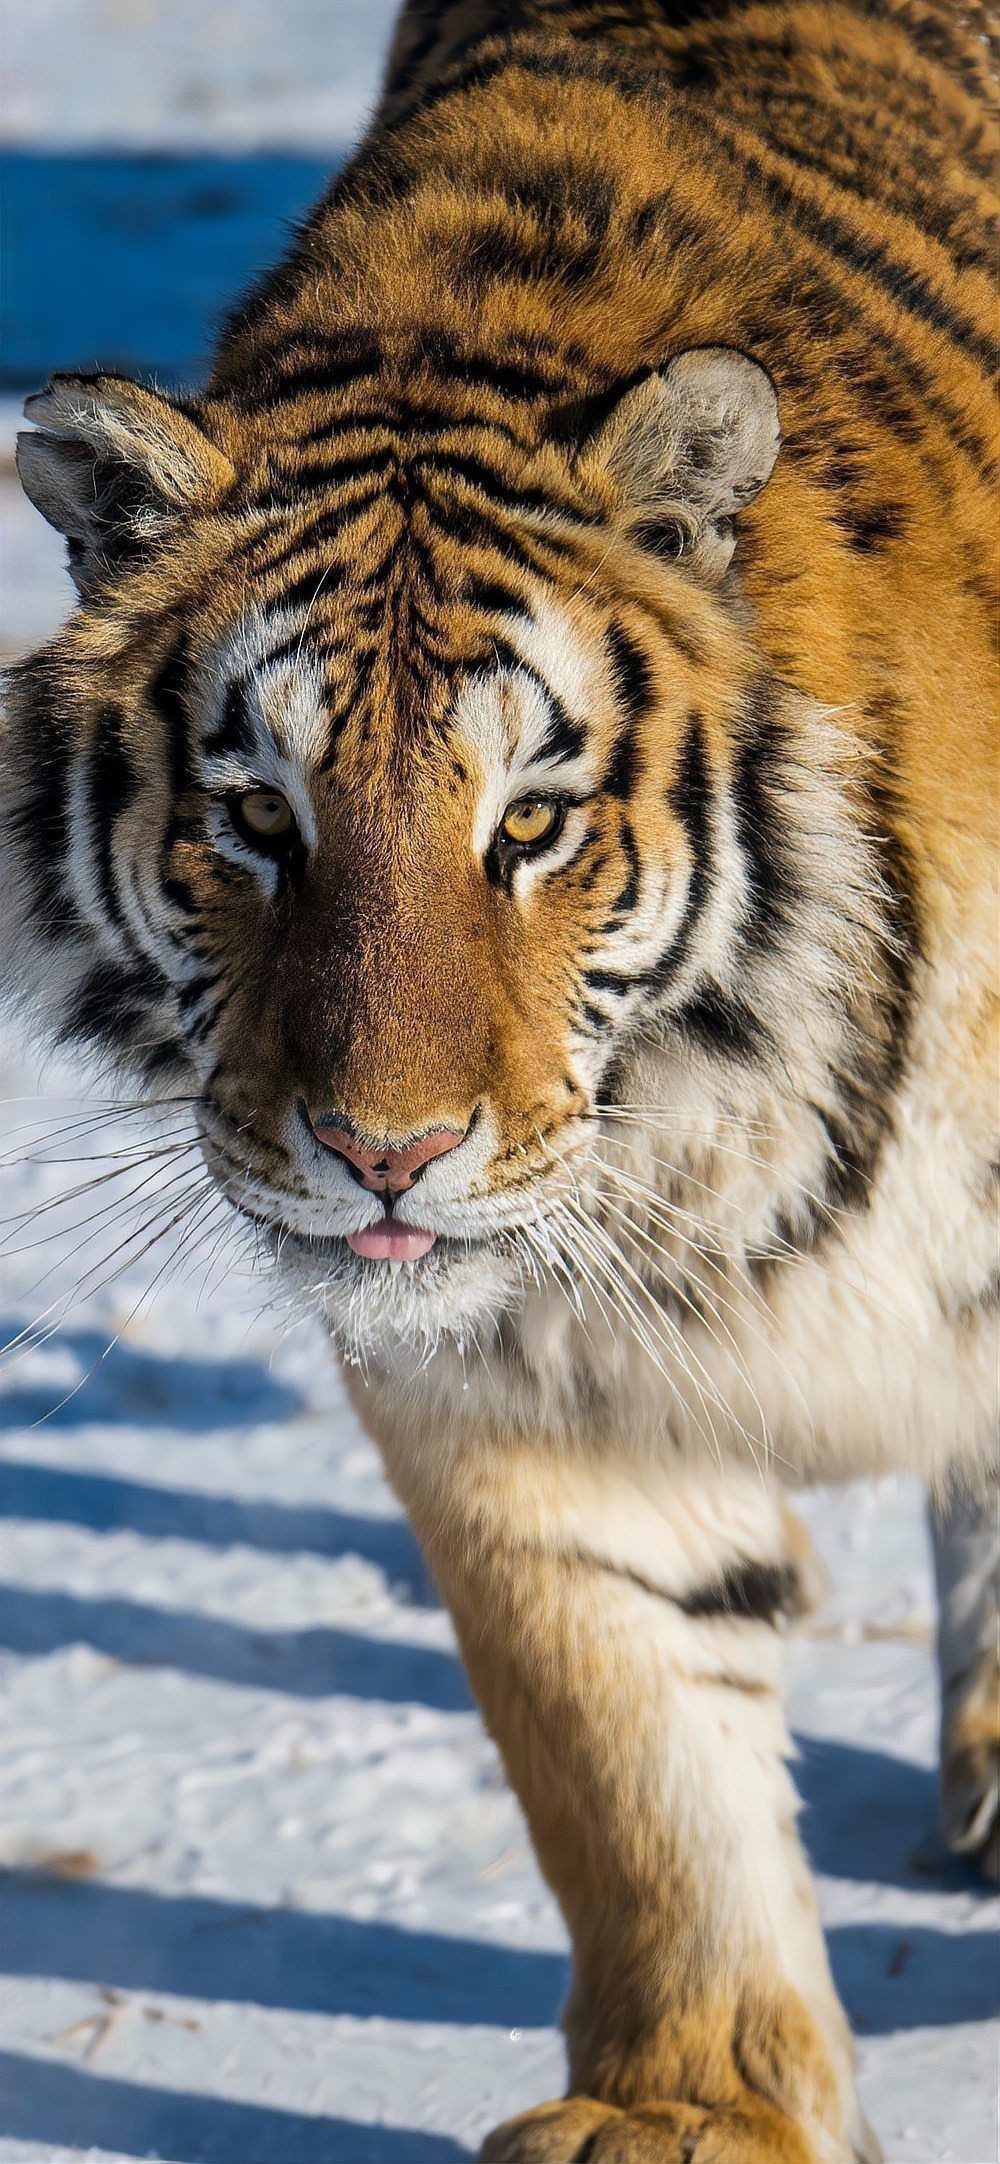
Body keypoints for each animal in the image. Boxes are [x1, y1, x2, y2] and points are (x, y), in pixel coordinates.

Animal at [4, 2, 997, 2158]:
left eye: (529, 823)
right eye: (256, 818)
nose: (384, 1153)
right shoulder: (507, 1386)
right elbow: (626, 1743)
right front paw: (693, 2102)